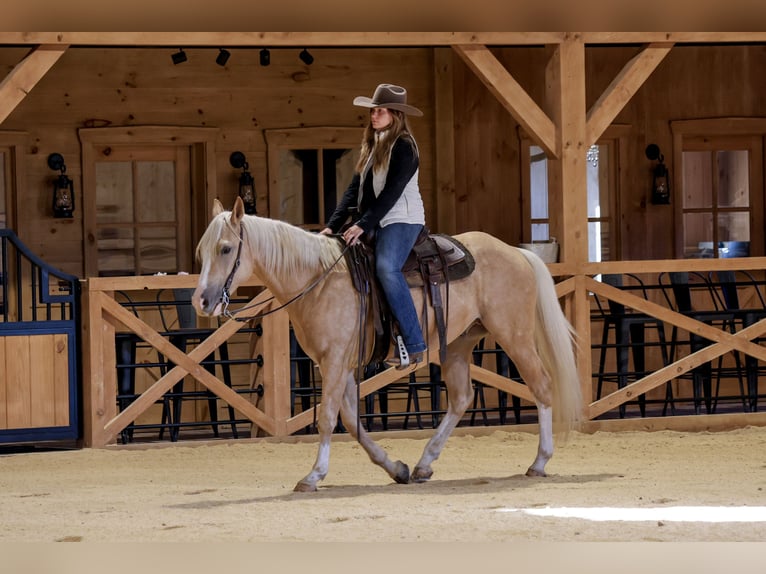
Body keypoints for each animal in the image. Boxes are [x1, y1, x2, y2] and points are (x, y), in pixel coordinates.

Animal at [193, 197, 582, 492]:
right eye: (201, 251)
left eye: (226, 248)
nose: (201, 301)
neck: (318, 279)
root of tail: (516, 252)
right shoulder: (342, 365)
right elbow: (351, 421)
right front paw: (396, 468)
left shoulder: (335, 361)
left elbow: (327, 418)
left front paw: (313, 476)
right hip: (459, 343)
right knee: (461, 398)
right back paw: (424, 464)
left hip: (514, 335)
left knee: (542, 386)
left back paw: (539, 461)